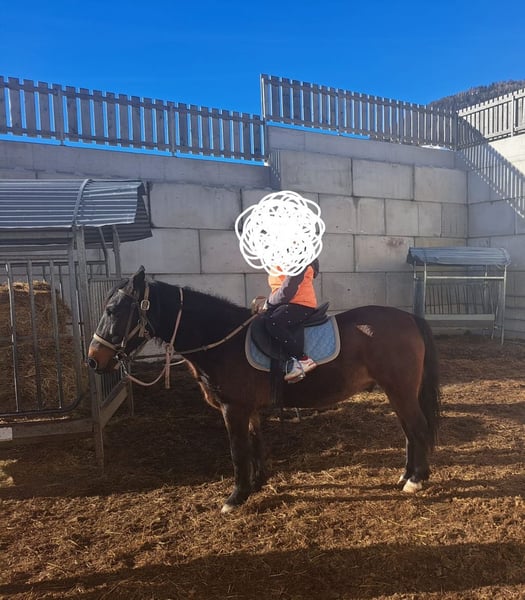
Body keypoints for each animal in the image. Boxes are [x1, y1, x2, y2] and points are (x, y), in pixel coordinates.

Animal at [87, 266, 441, 513]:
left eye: (114, 311)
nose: (93, 359)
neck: (222, 340)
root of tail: (409, 318)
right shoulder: (249, 410)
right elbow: (256, 445)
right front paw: (257, 484)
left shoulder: (233, 409)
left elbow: (237, 452)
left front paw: (235, 497)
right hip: (396, 391)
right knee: (409, 432)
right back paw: (405, 476)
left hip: (400, 390)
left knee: (418, 428)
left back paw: (416, 480)